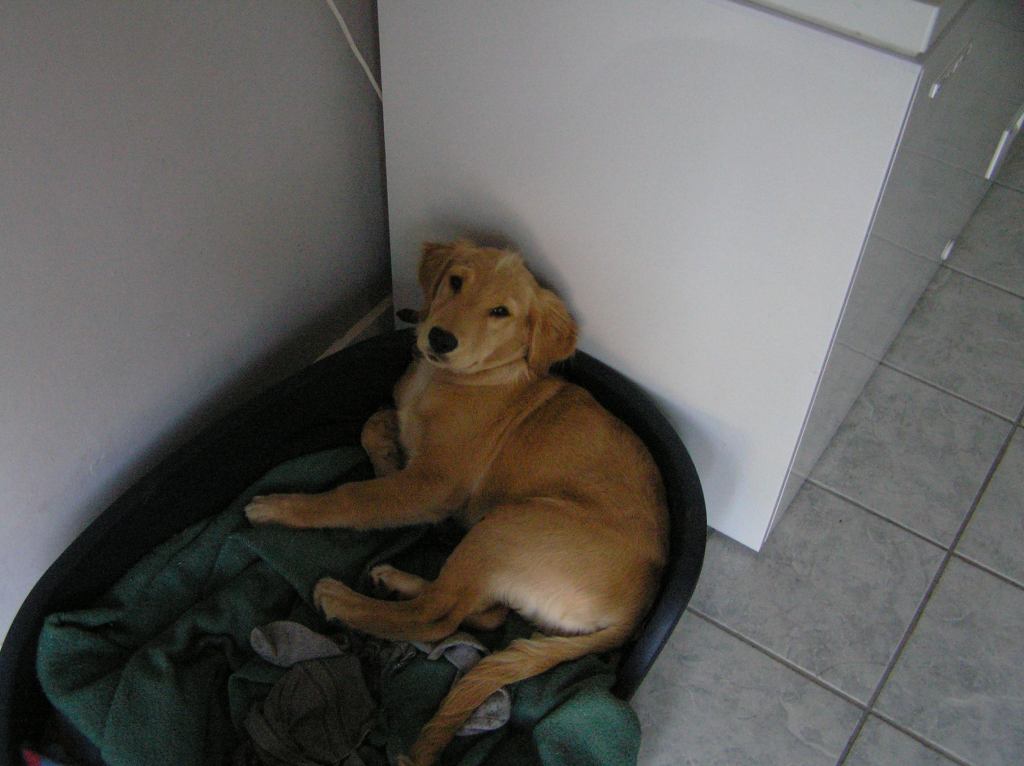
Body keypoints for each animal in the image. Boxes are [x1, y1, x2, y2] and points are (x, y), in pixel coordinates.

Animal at [245, 239, 668, 766]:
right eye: (456, 282)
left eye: (500, 312)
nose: (441, 338)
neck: (459, 379)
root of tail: (638, 611)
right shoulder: (412, 460)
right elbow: (374, 430)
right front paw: (389, 458)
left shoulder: (435, 484)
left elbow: (352, 497)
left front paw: (281, 507)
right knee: (484, 613)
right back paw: (396, 578)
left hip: (509, 524)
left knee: (436, 617)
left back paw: (343, 598)